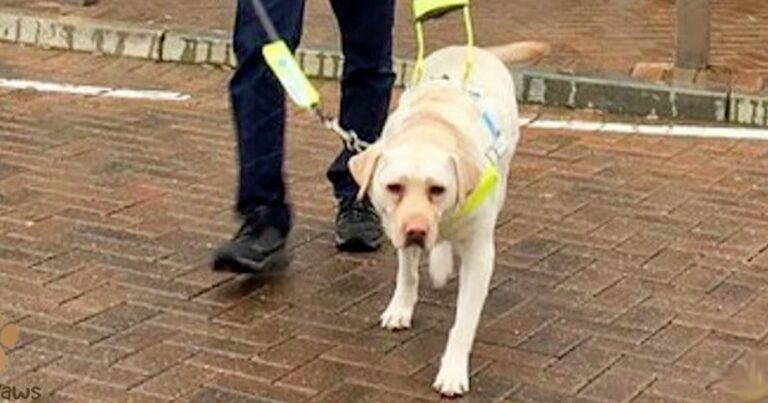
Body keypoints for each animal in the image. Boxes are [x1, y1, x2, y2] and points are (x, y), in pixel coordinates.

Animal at [348, 41, 544, 398]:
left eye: (437, 189)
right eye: (393, 187)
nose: (416, 229)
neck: (433, 126)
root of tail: (479, 50)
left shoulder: (480, 256)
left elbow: (463, 323)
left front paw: (453, 372)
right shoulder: (398, 228)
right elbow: (408, 273)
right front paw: (400, 308)